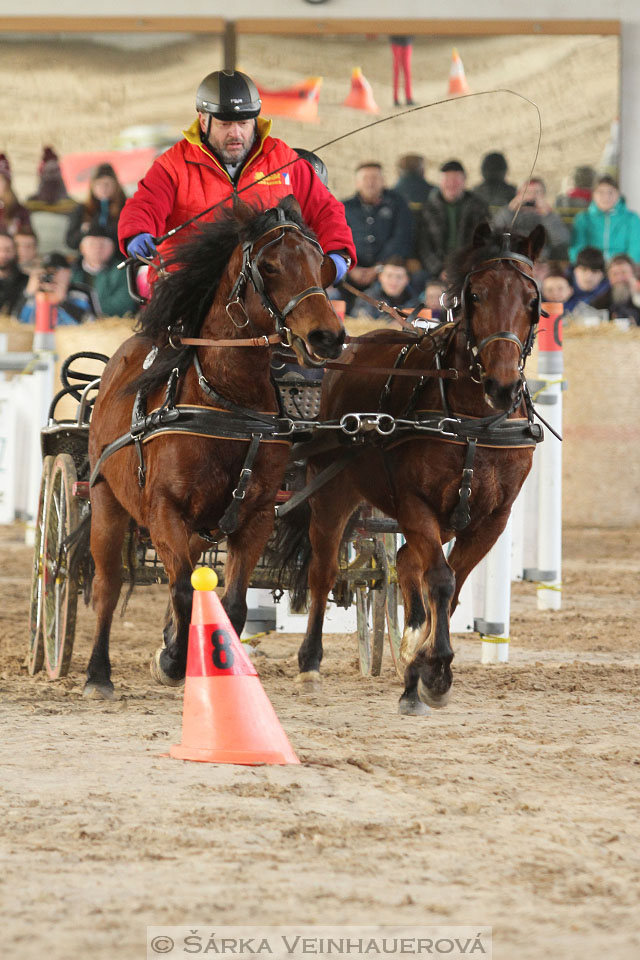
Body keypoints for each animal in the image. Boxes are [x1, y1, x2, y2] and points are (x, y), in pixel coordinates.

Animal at [87, 199, 344, 700]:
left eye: (323, 263)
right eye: (269, 266)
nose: (327, 337)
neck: (225, 401)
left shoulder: (256, 514)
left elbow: (234, 604)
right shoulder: (164, 510)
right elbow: (185, 592)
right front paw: (173, 661)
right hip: (107, 498)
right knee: (108, 585)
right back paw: (97, 674)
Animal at [276, 223, 544, 712]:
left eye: (532, 300)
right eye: (475, 295)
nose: (502, 385)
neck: (473, 421)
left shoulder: (492, 519)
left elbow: (453, 587)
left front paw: (421, 668)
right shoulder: (415, 502)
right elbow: (440, 580)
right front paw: (435, 671)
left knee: (402, 560)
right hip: (334, 491)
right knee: (323, 571)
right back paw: (309, 663)